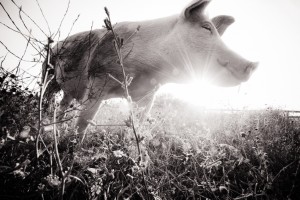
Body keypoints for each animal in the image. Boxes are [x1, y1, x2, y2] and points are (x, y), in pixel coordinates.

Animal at [44, 0, 258, 142]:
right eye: (206, 28)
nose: (253, 64)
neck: (147, 71)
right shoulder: (98, 77)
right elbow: (84, 120)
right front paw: (73, 148)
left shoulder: (148, 94)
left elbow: (137, 124)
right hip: (48, 72)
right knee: (49, 97)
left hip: (68, 90)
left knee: (63, 104)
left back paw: (55, 128)